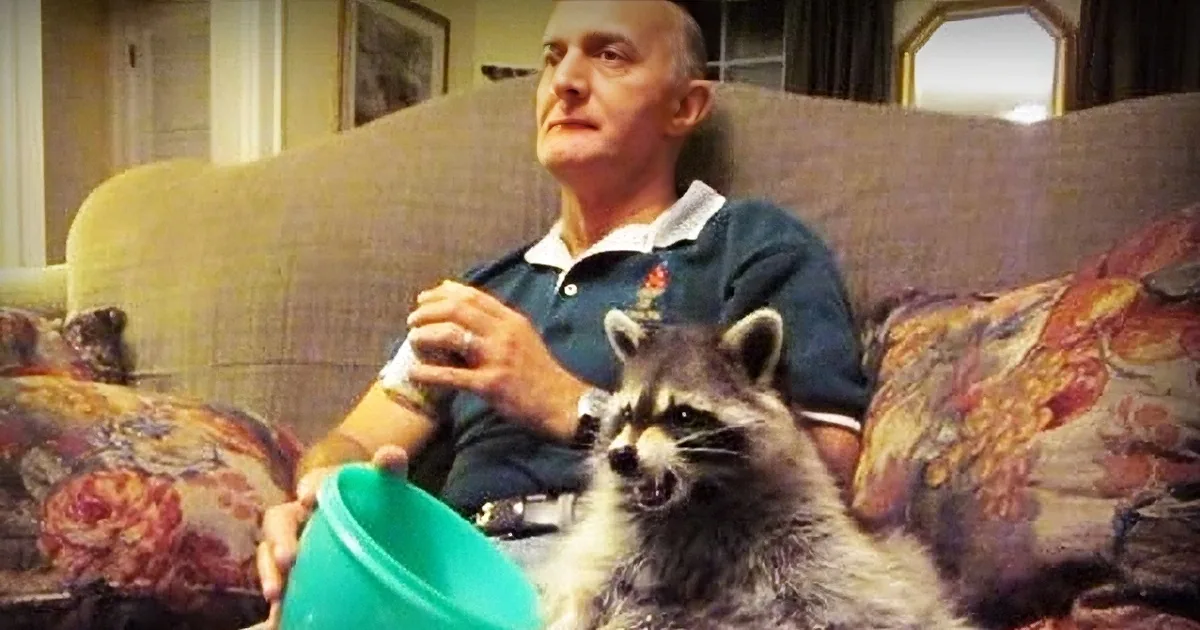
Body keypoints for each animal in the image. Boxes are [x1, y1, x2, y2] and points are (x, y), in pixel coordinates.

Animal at [536, 307, 977, 630]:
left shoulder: (817, 549)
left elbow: (852, 602)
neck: (695, 500)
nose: (621, 457)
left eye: (683, 415)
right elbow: (585, 588)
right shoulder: (614, 549)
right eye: (627, 414)